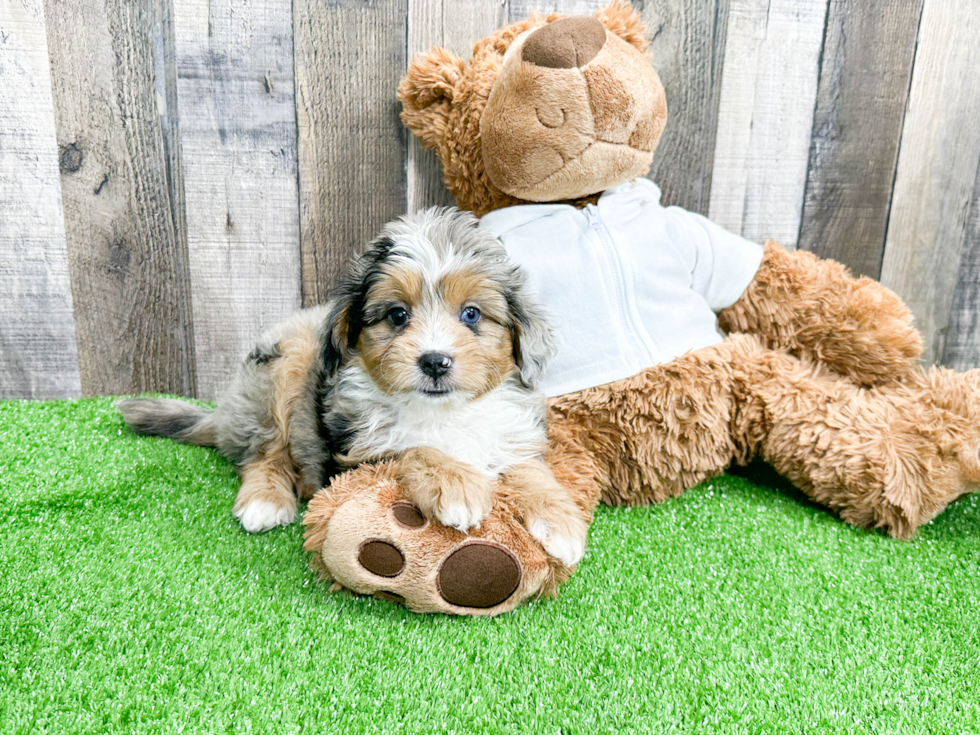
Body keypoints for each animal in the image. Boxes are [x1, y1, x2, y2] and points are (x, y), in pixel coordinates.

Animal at [117, 210, 584, 568]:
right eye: (397, 315)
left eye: (471, 314)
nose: (435, 361)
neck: (442, 413)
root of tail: (227, 412)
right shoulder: (357, 454)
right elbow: (413, 448)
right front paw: (455, 484)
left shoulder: (512, 432)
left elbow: (530, 468)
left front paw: (561, 521)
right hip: (284, 365)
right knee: (262, 454)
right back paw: (265, 501)